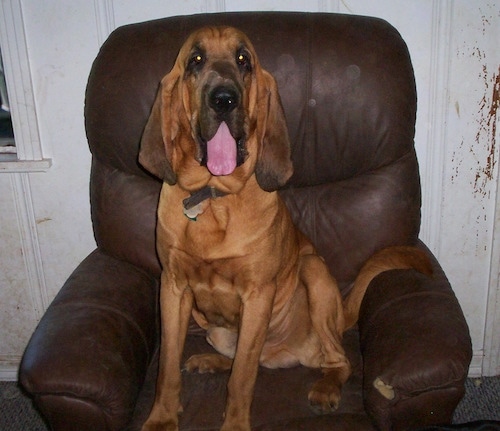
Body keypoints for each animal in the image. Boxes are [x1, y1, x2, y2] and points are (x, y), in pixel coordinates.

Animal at [139, 27, 432, 431]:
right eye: (195, 60)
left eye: (244, 60)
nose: (224, 99)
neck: (213, 197)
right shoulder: (173, 289)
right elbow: (168, 367)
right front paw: (163, 417)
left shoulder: (257, 295)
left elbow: (243, 378)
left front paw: (234, 424)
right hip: (210, 326)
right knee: (250, 359)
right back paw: (210, 361)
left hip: (315, 276)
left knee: (336, 360)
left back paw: (327, 389)